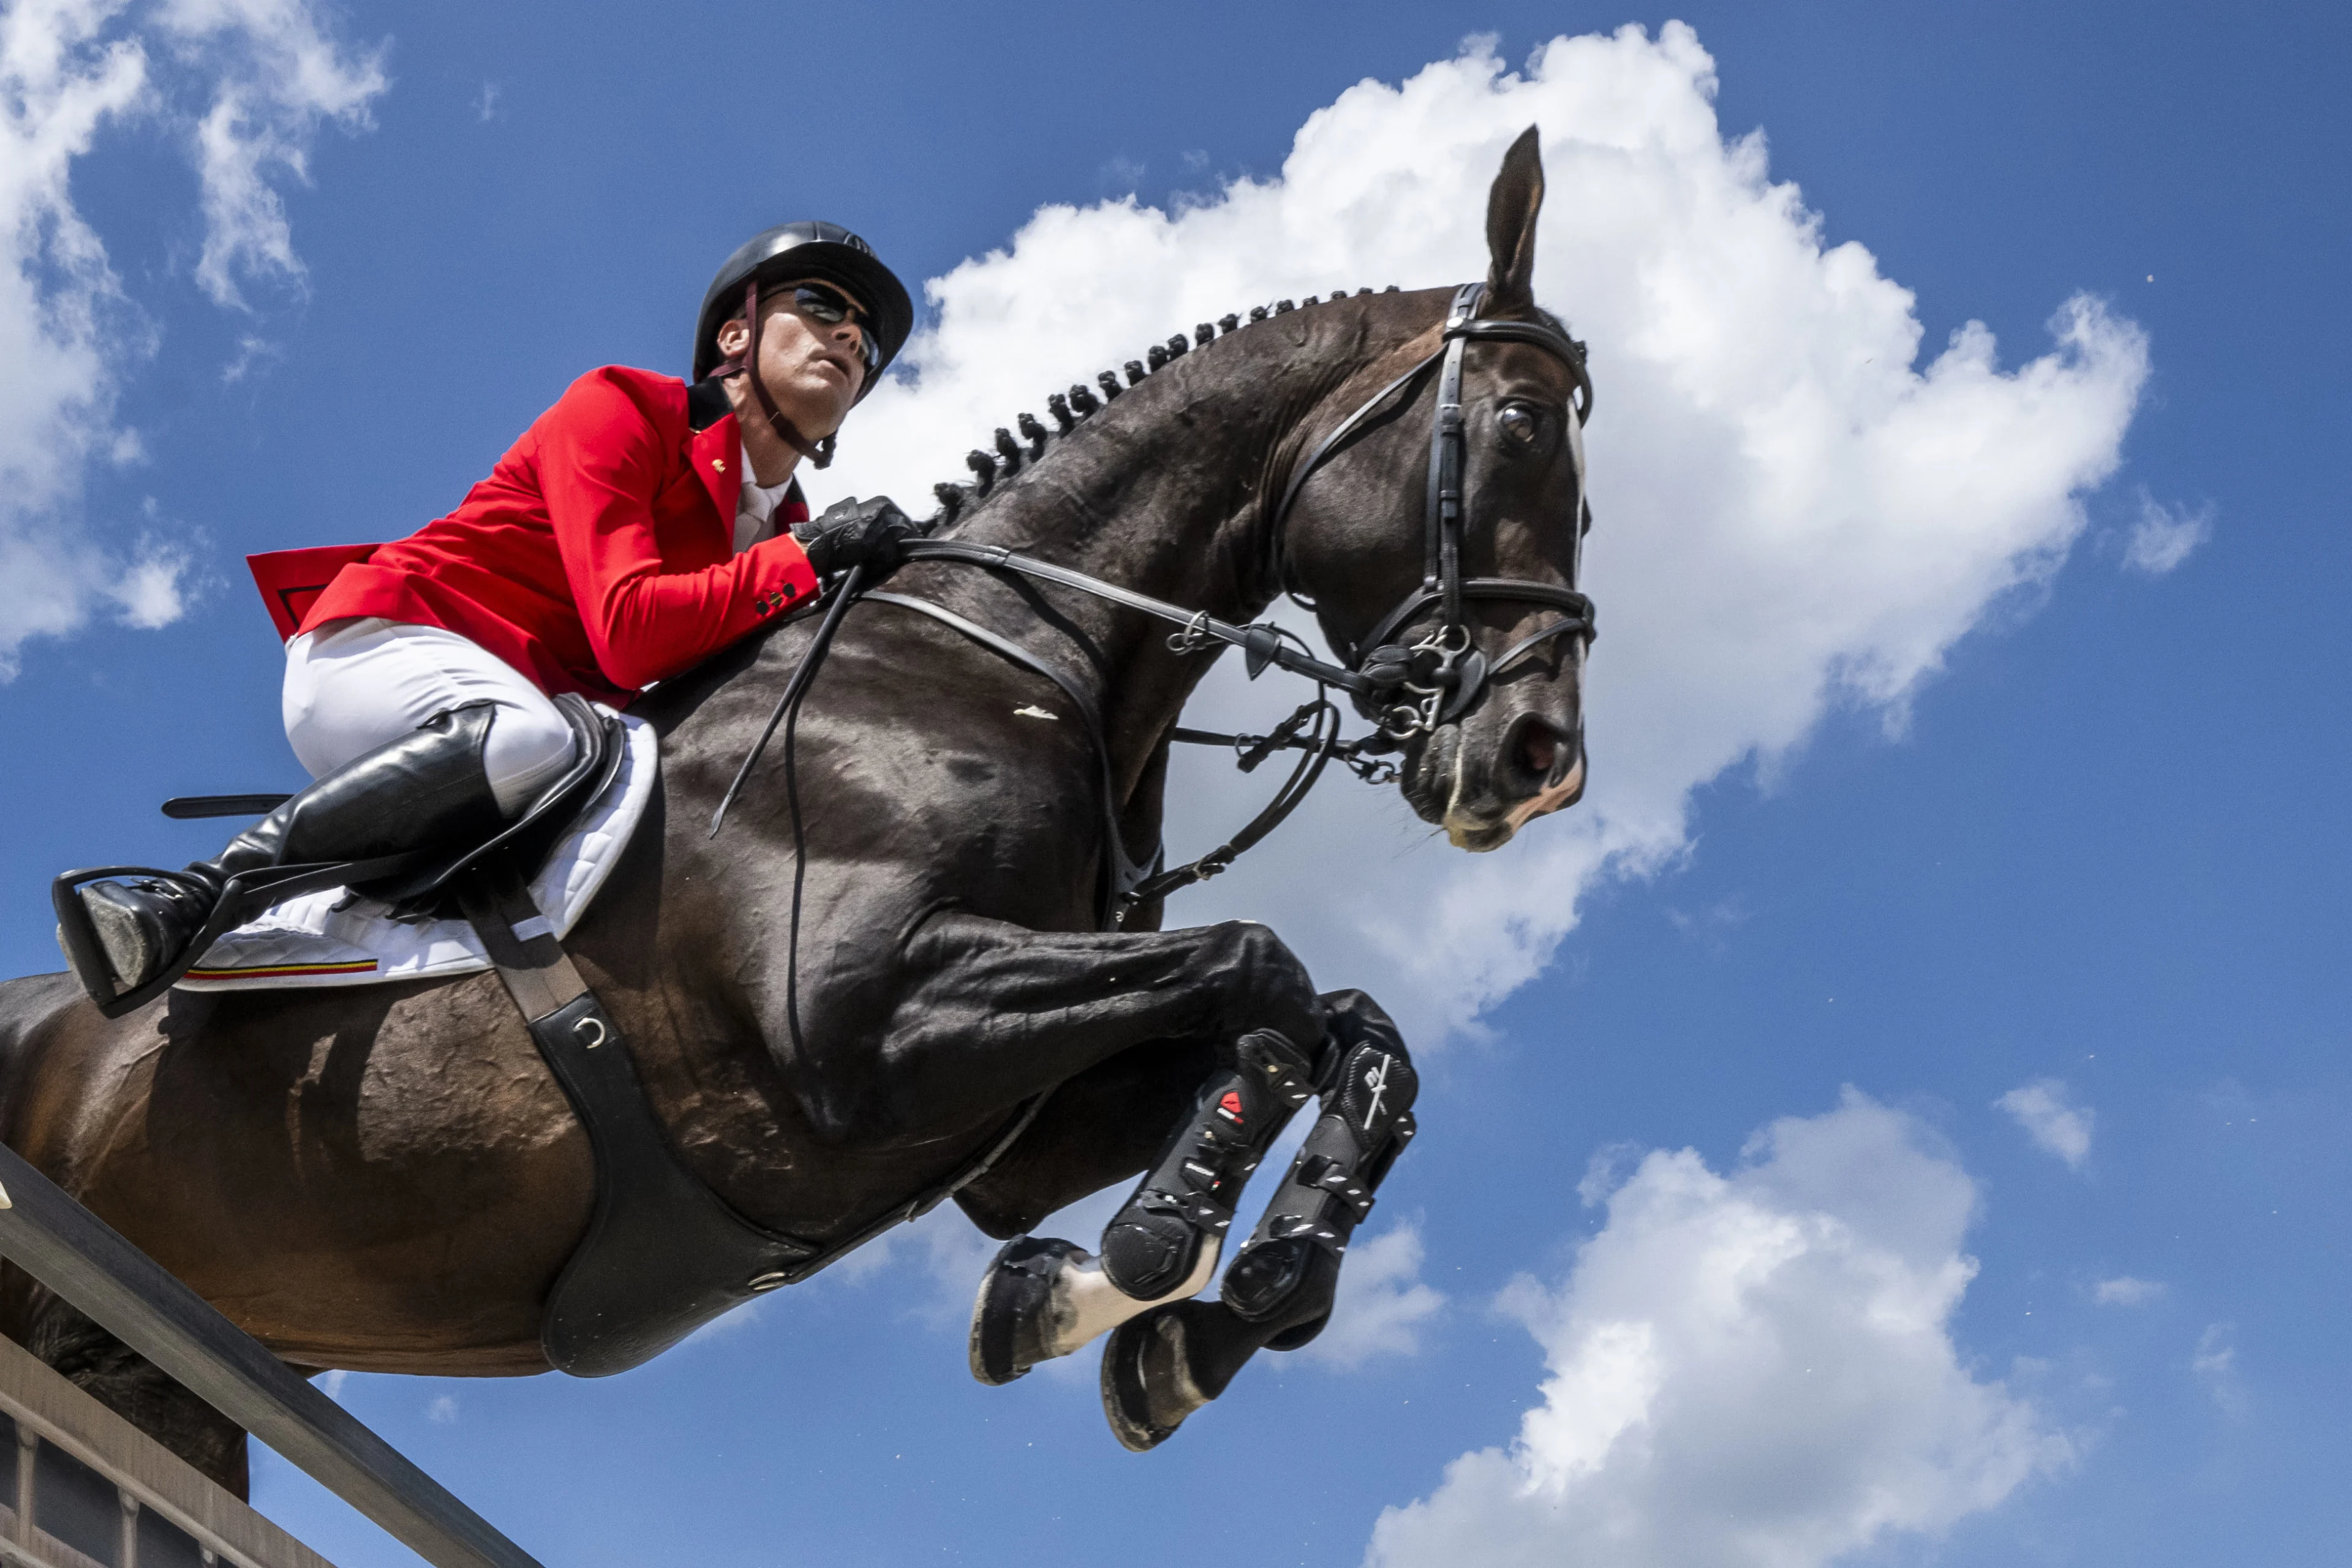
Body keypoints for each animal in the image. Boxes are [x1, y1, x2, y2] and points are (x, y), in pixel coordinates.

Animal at [0, 131, 1599, 1485]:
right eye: (1523, 426)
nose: (1538, 759)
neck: (1017, 654)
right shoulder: (861, 1032)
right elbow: (1258, 965)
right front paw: (1154, 1254)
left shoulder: (1009, 1123)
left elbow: (1349, 1031)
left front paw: (1176, 1313)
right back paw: (142, 917)